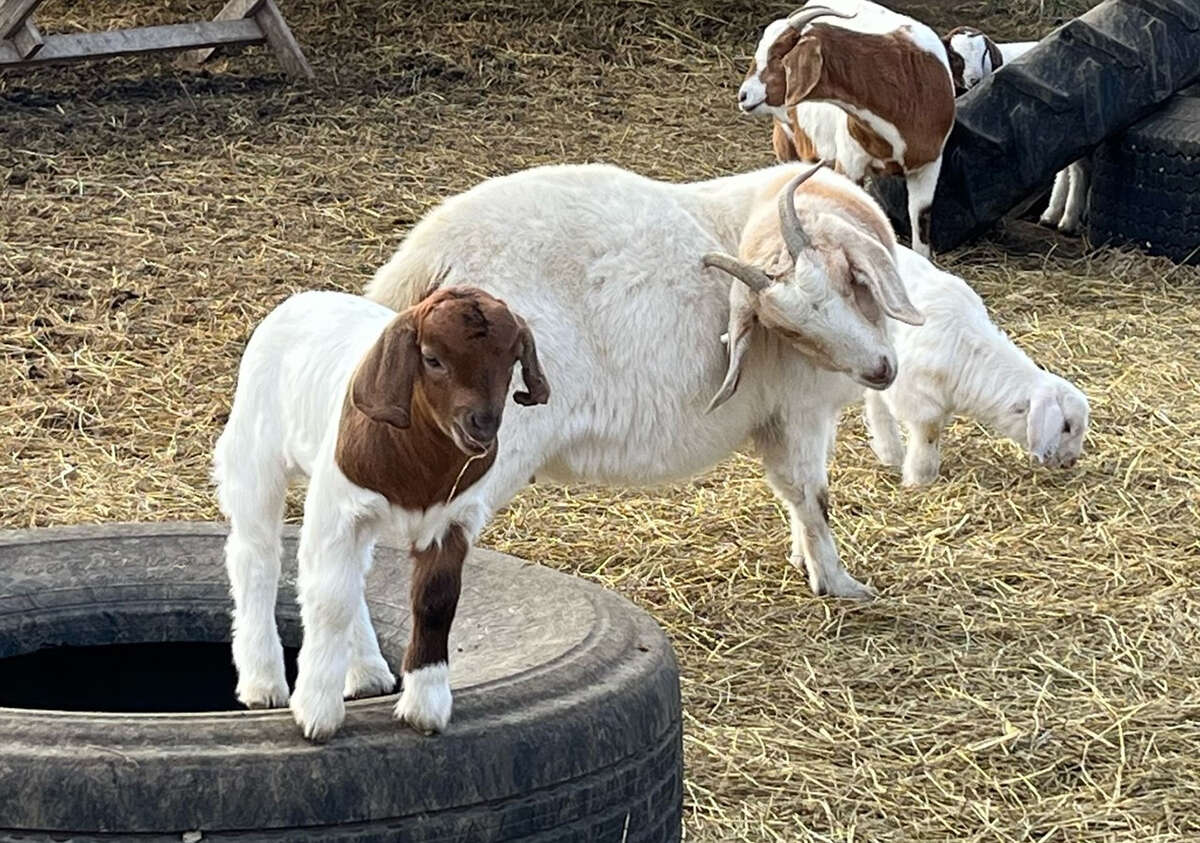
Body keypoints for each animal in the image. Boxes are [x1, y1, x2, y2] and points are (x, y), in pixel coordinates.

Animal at [213, 287, 549, 744]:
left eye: (512, 358)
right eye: (432, 358)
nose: (480, 424)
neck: (422, 464)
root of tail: (307, 296)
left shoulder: (453, 520)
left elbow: (436, 600)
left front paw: (426, 705)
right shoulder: (338, 507)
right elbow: (330, 599)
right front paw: (316, 711)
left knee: (349, 575)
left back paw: (368, 673)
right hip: (254, 456)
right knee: (257, 558)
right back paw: (262, 683)